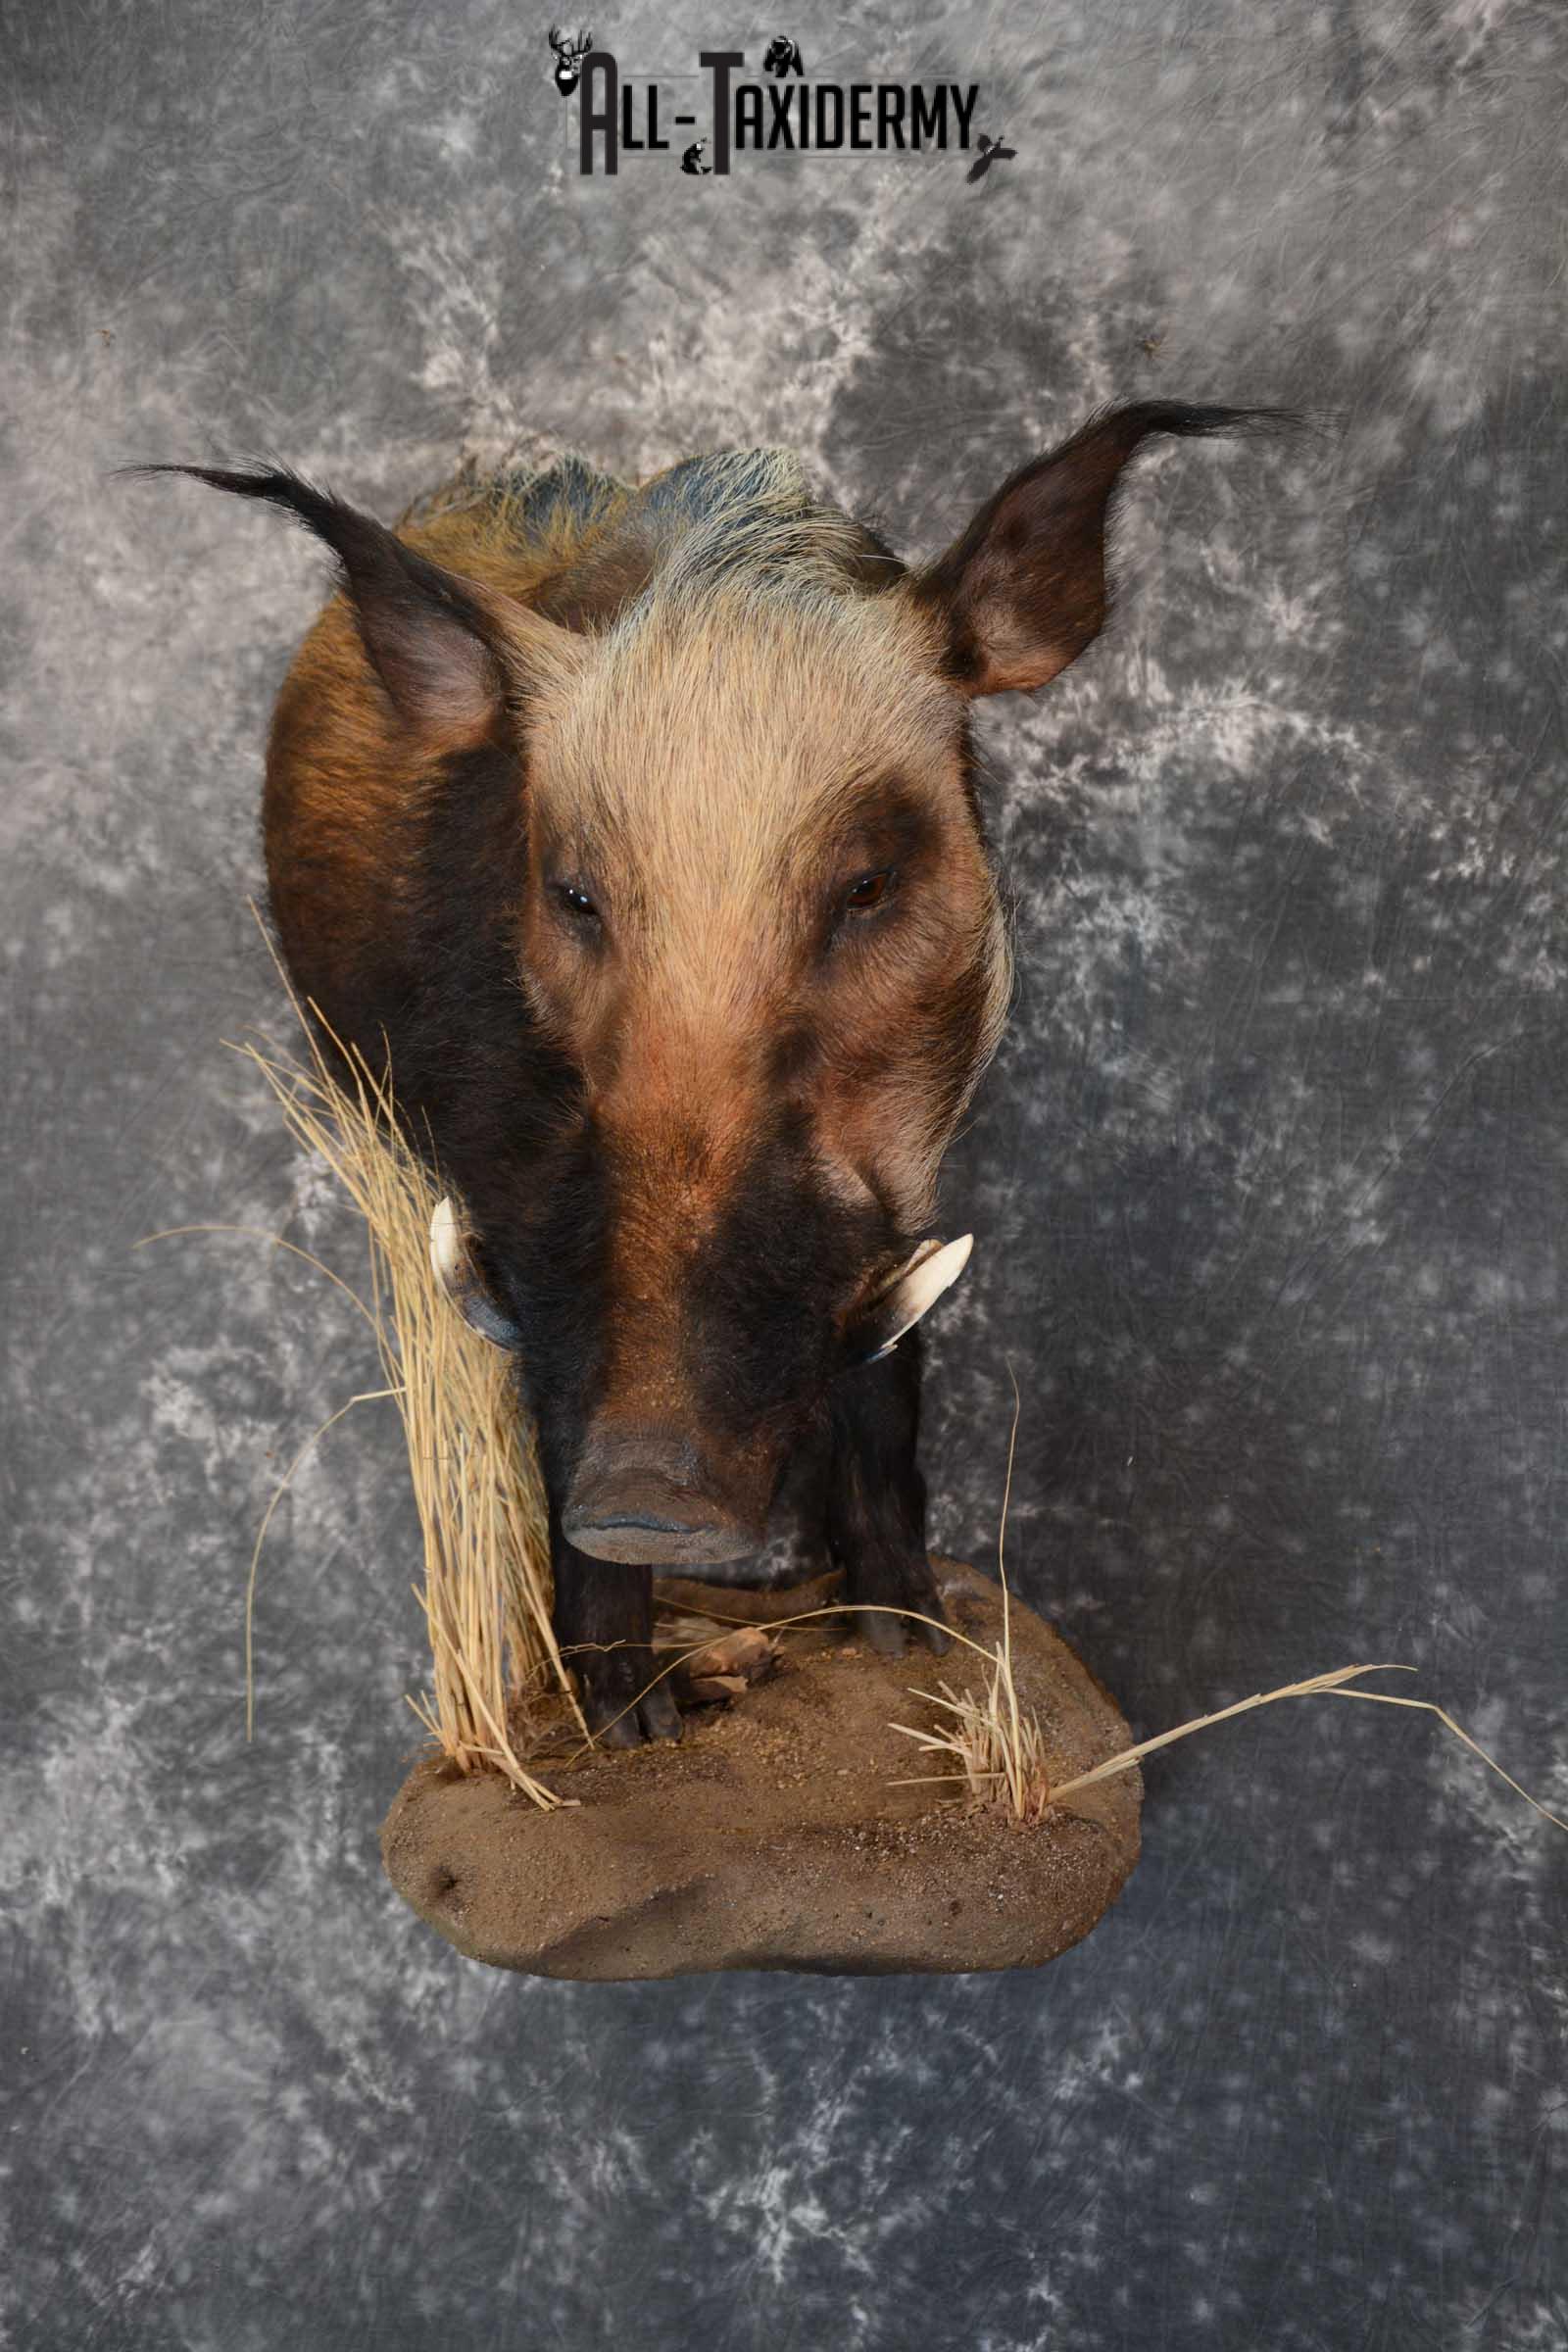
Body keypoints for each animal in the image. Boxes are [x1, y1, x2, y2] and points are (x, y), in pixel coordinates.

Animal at [150, 401, 1289, 1741]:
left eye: (866, 885)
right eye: (572, 893)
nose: (651, 1496)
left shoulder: (900, 1211)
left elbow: (888, 1401)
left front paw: (908, 1648)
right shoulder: (519, 1216)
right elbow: (549, 1413)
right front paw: (630, 1726)